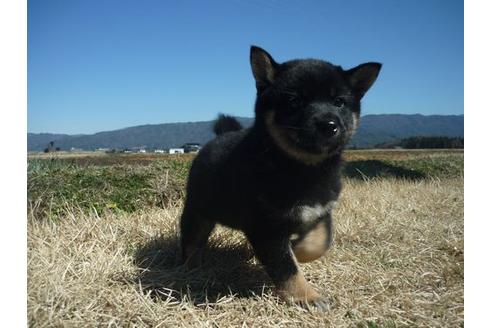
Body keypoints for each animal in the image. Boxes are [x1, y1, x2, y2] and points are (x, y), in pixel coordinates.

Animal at [179, 46, 382, 310]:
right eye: (294, 102)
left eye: (339, 102)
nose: (329, 124)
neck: (304, 169)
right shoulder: (267, 226)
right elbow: (286, 267)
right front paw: (306, 296)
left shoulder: (321, 210)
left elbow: (321, 242)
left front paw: (299, 249)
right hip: (198, 210)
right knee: (191, 240)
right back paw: (191, 268)